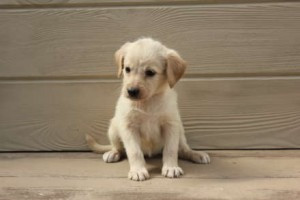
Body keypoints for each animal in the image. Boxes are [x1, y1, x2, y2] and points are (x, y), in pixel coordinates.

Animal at [85, 37, 210, 181]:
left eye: (150, 72)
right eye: (127, 69)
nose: (131, 91)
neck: (148, 101)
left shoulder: (171, 124)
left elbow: (171, 150)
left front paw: (171, 167)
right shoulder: (129, 126)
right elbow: (134, 151)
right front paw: (138, 170)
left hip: (180, 131)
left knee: (183, 149)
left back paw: (196, 154)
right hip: (114, 128)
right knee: (118, 148)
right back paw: (112, 153)